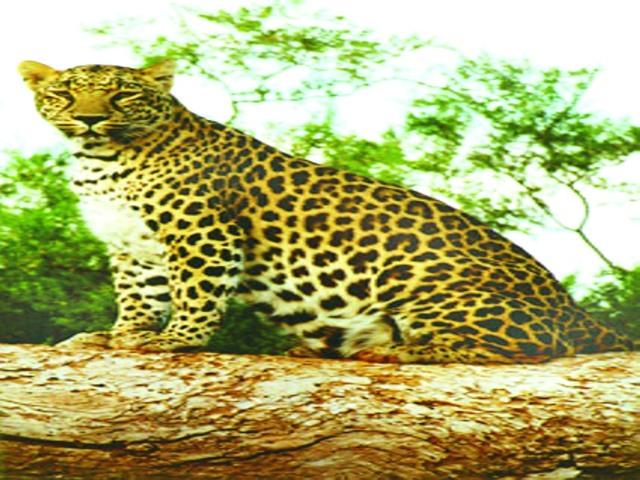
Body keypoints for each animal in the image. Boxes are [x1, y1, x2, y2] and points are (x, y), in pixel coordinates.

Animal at [18, 59, 633, 364]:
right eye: (65, 95)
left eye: (121, 95)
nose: (91, 118)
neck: (101, 160)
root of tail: (578, 311)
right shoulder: (130, 245)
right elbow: (137, 299)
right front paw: (117, 336)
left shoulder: (202, 234)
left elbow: (196, 294)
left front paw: (176, 342)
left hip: (427, 285)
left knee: (528, 347)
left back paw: (402, 353)